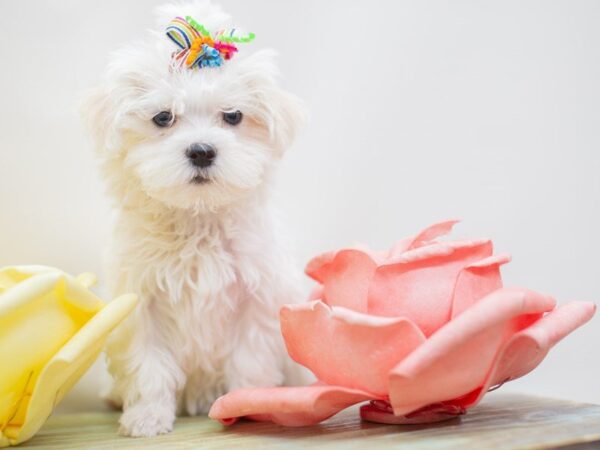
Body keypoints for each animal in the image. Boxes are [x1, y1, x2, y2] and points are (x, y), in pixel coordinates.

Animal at [82, 0, 308, 436]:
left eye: (233, 116)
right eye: (163, 118)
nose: (202, 150)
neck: (198, 219)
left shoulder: (255, 297)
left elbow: (249, 360)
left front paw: (246, 404)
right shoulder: (142, 300)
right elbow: (148, 364)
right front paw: (147, 416)